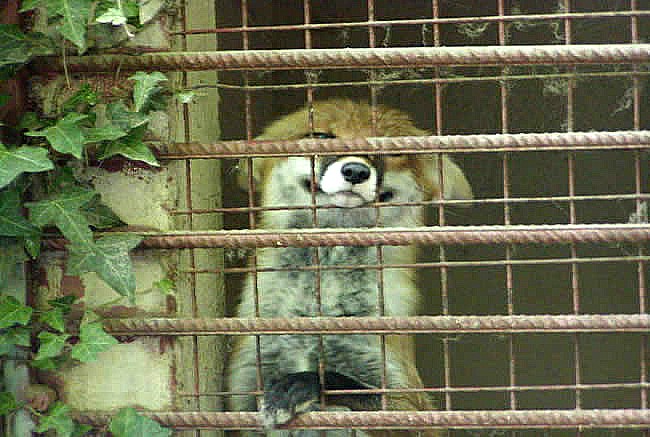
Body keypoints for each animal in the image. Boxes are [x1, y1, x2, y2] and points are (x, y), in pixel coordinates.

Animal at [227, 99, 473, 436]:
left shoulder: (408, 398)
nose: (355, 170)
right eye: (321, 136)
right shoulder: (243, 387)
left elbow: (354, 387)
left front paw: (307, 384)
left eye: (392, 151)